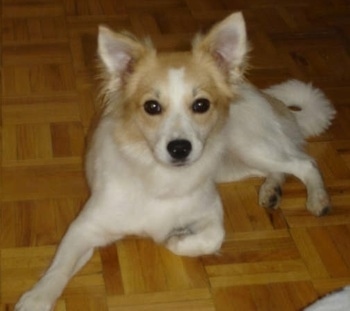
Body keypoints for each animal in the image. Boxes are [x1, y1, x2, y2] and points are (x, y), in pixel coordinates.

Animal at [15, 11, 334, 310]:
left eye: (201, 104)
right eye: (152, 107)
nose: (180, 148)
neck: (160, 177)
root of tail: (266, 95)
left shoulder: (211, 212)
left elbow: (213, 236)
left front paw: (175, 239)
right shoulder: (85, 227)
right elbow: (58, 269)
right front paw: (36, 299)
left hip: (248, 146)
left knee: (303, 163)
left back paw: (317, 198)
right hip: (236, 165)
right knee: (281, 168)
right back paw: (271, 190)